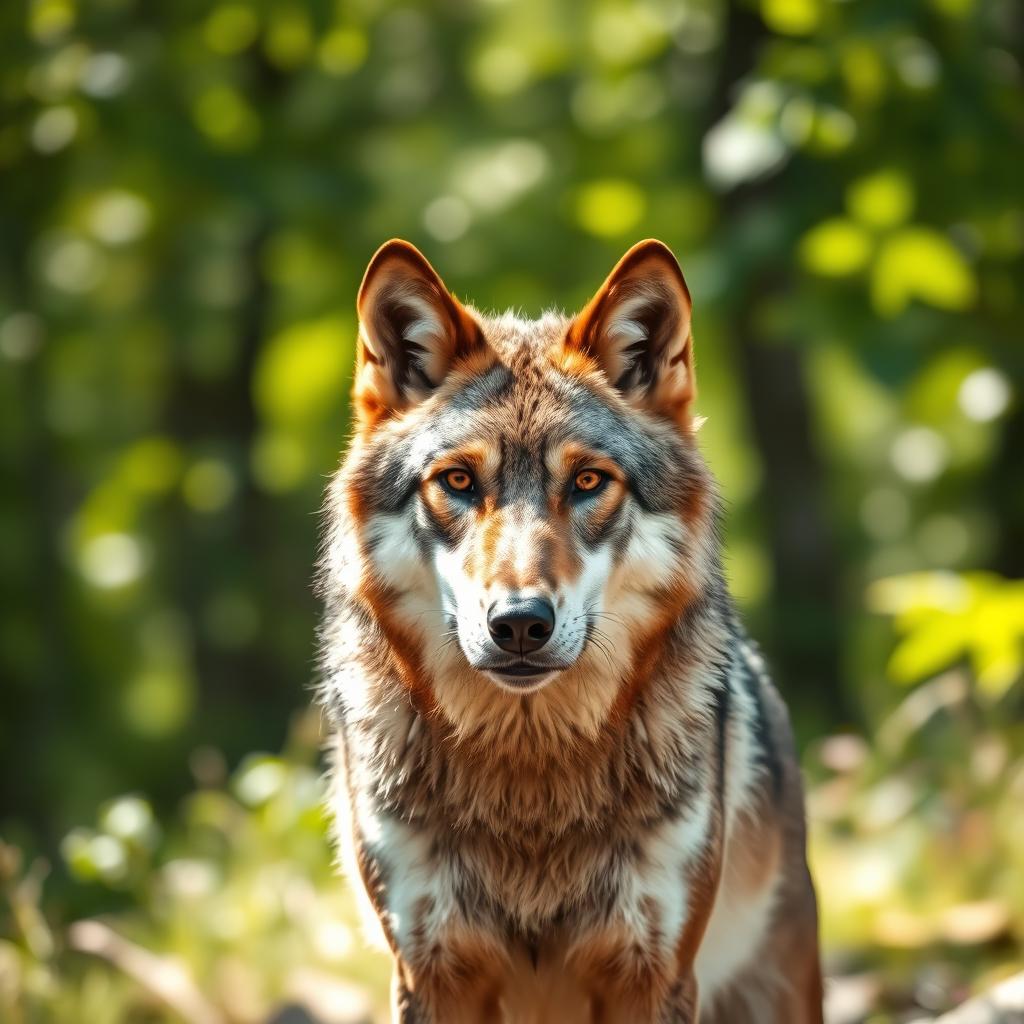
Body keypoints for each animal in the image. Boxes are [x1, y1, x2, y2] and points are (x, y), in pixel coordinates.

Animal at [318, 238, 823, 1023]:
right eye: (458, 482)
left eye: (587, 482)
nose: (519, 624)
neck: (533, 771)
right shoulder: (431, 973)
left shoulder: (651, 974)